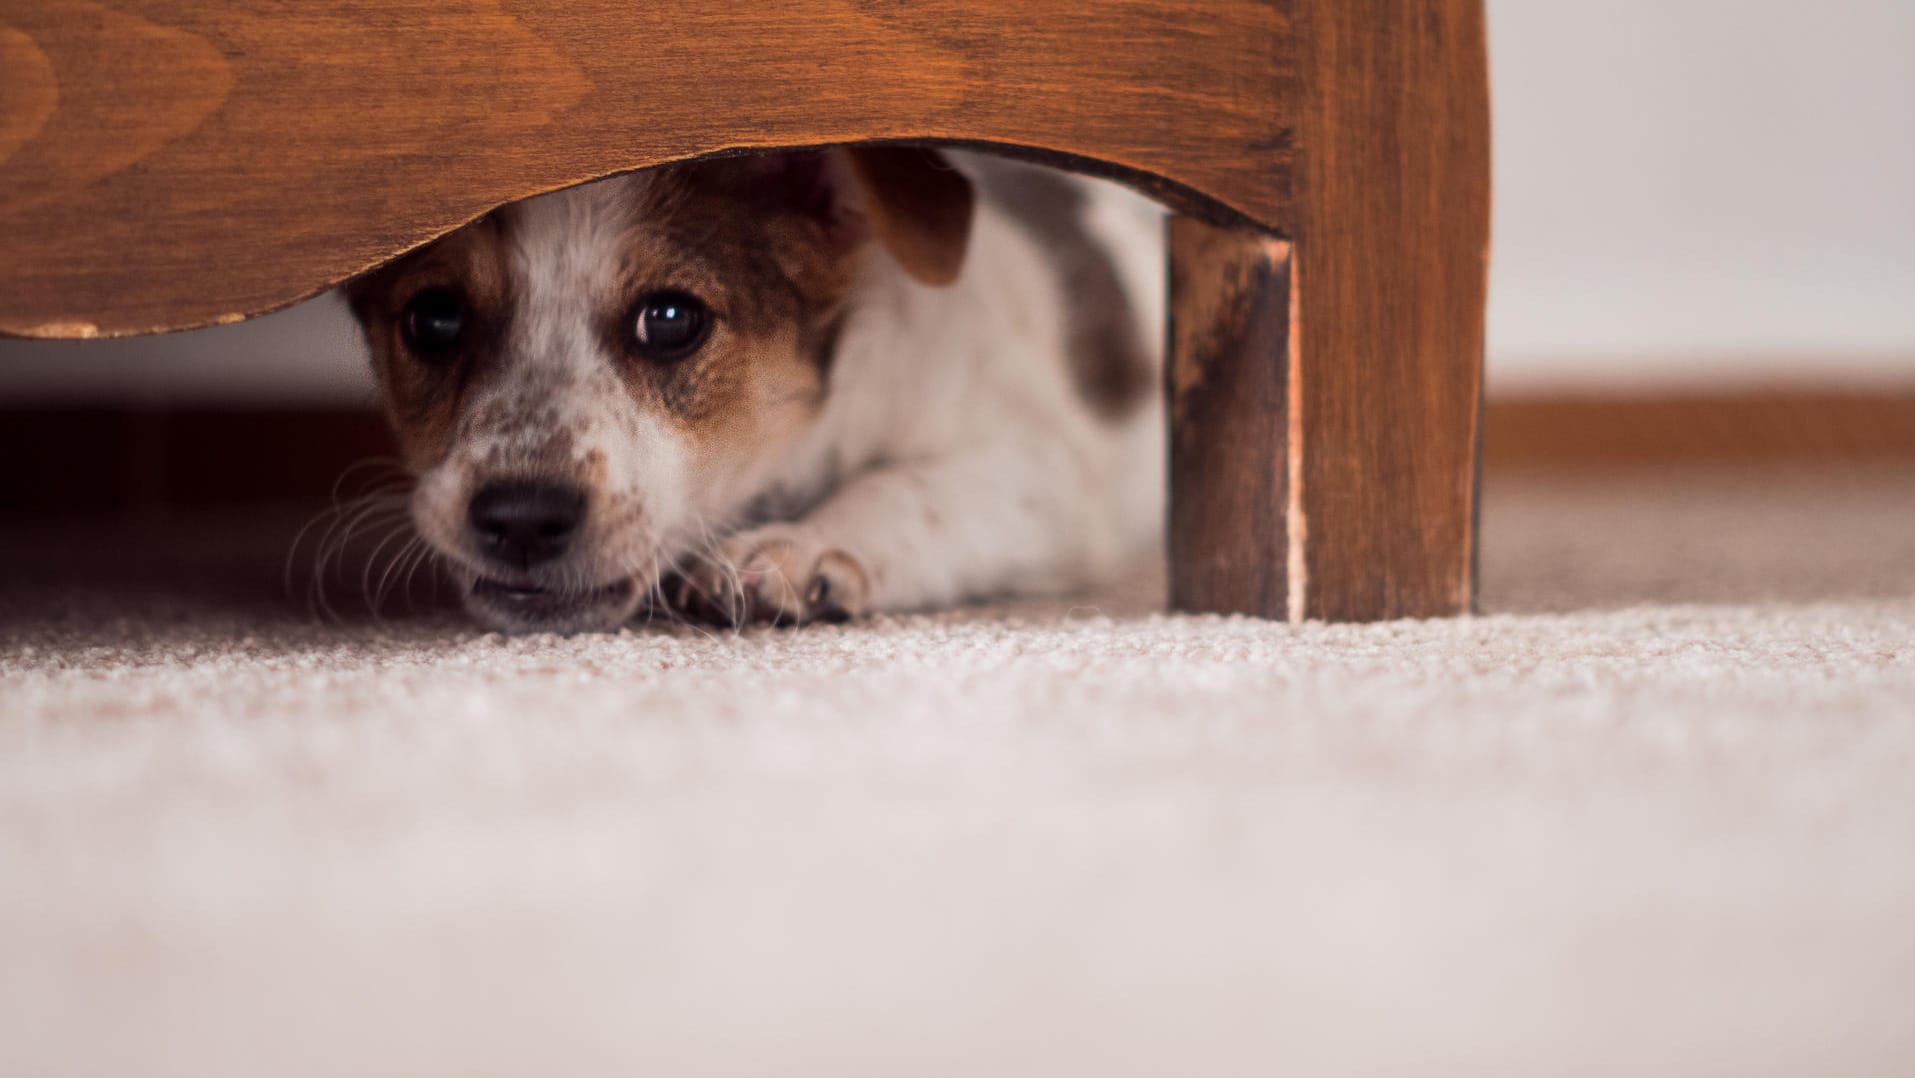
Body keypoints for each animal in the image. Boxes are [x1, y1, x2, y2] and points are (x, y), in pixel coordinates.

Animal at [352, 144, 1171, 631]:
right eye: (433, 318)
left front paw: (803, 546)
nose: (521, 518)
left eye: (671, 319)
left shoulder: (1045, 471)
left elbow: (909, 486)